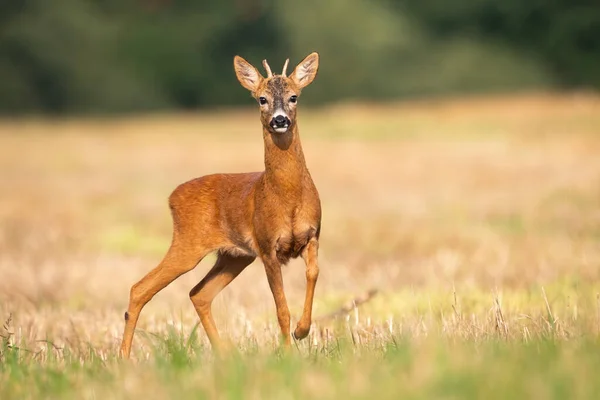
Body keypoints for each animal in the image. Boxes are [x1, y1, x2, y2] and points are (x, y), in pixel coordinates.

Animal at [119, 52, 322, 356]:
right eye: (261, 99)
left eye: (294, 96)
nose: (279, 120)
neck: (289, 199)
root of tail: (172, 196)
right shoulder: (267, 247)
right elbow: (281, 308)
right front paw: (288, 352)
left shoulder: (312, 235)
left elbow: (313, 273)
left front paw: (302, 330)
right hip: (188, 243)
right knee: (140, 288)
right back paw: (123, 358)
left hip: (234, 255)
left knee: (198, 293)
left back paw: (224, 353)